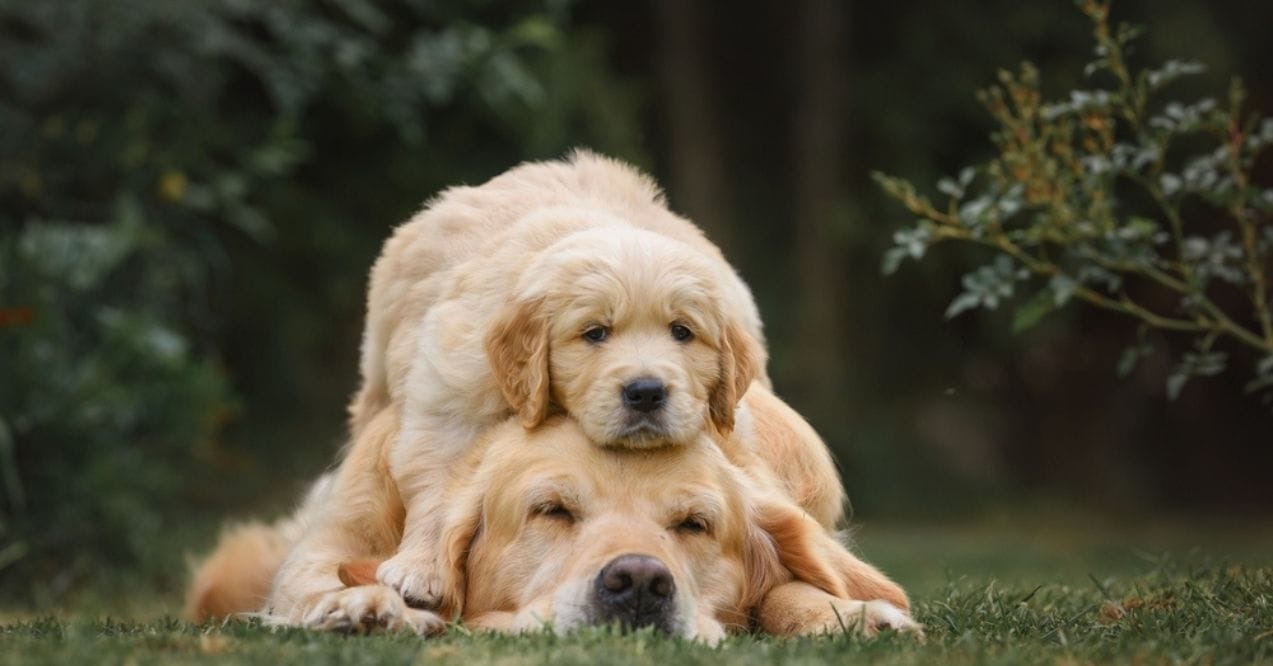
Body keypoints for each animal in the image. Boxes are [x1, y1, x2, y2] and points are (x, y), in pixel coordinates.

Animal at [338, 152, 768, 608]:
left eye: (682, 331)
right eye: (595, 333)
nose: (647, 393)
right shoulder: (452, 401)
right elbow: (438, 484)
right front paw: (419, 570)